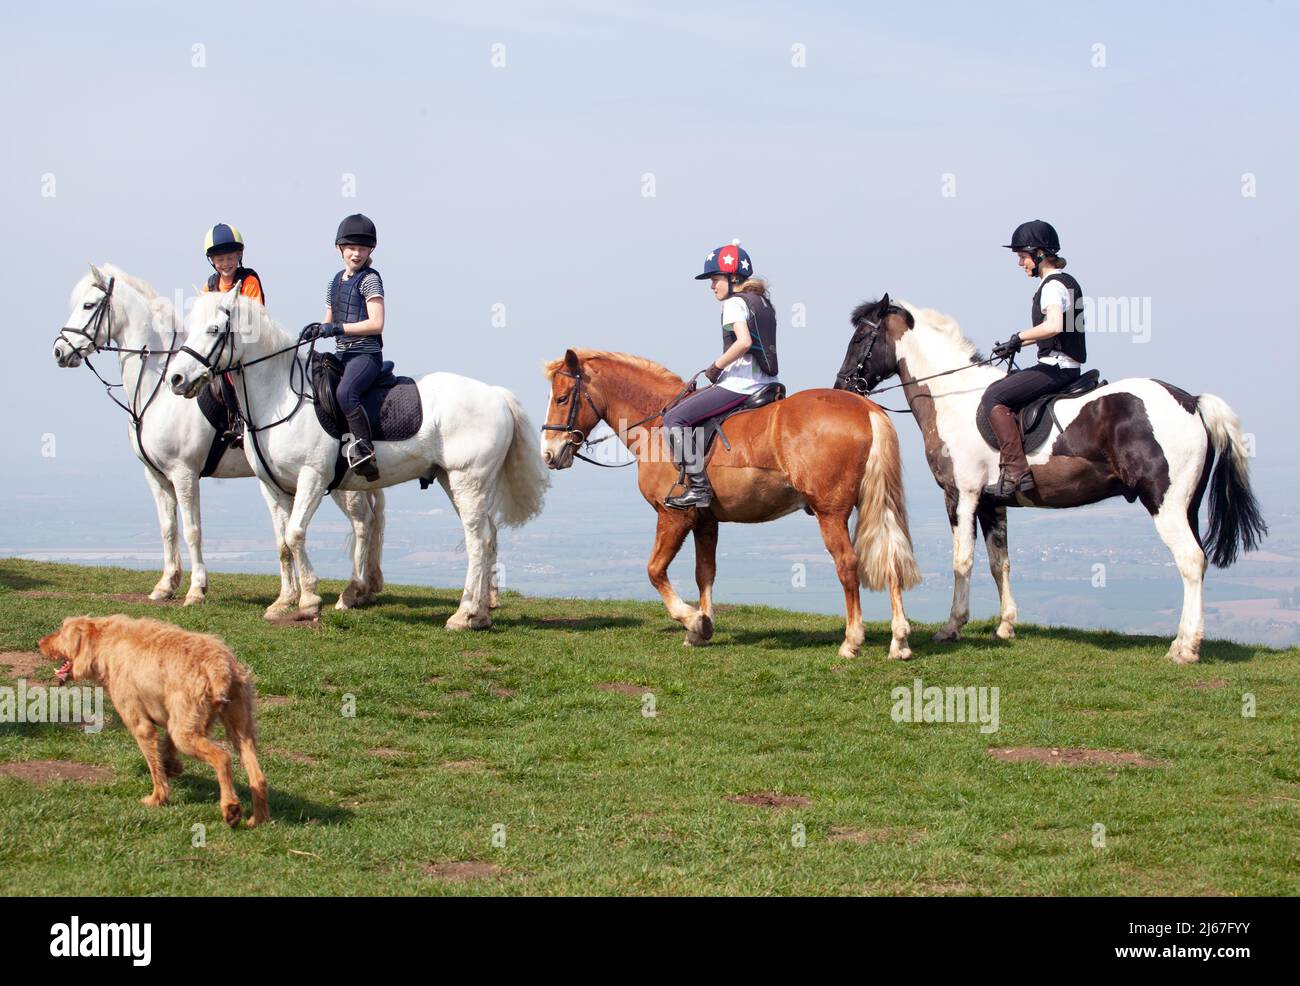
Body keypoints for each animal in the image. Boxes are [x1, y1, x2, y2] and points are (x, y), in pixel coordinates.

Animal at [53, 265, 386, 609]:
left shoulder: (183, 472)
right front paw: (165, 585)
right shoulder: (156, 476)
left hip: (340, 480)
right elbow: (168, 528)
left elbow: (192, 530)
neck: (157, 391)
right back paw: (364, 589)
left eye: (88, 305)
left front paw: (196, 589)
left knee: (363, 521)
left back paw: (355, 590)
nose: (59, 350)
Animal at [166, 285, 549, 625]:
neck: (279, 397)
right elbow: (282, 542)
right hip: (453, 481)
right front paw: (283, 602)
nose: (176, 379)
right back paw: (480, 614)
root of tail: (496, 395)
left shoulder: (312, 477)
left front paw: (309, 601)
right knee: (486, 536)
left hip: (468, 479)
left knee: (478, 539)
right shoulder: (272, 486)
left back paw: (464, 614)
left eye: (214, 330)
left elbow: (295, 534)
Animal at [541, 349, 920, 659]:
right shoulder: (705, 520)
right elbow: (704, 572)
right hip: (876, 505)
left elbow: (654, 570)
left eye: (562, 397)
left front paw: (692, 620)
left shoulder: (674, 515)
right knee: (890, 558)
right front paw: (702, 628)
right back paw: (899, 640)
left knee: (847, 564)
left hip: (830, 513)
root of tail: (865, 408)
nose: (548, 453)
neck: (655, 424)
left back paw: (851, 641)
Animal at [833, 295, 1266, 663]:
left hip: (1166, 503)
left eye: (860, 338)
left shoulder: (963, 495)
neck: (951, 395)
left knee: (1190, 561)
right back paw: (1185, 642)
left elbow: (962, 560)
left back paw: (1185, 648)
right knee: (1197, 561)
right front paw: (1006, 626)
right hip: (1187, 505)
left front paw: (952, 627)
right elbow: (999, 562)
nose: (842, 387)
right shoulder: (992, 501)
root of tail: (1190, 401)